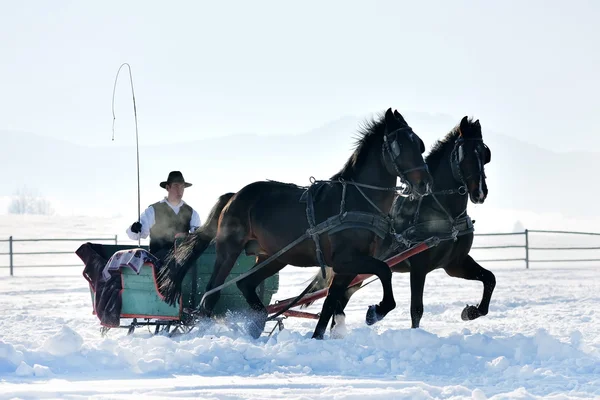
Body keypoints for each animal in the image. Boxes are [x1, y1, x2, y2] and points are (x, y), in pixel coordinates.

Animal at [157, 108, 434, 340]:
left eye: (419, 144)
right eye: (400, 145)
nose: (425, 183)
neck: (356, 200)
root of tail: (235, 195)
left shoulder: (346, 265)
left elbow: (330, 302)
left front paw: (318, 337)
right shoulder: (346, 260)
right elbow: (383, 271)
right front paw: (376, 311)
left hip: (276, 256)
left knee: (245, 283)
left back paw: (258, 321)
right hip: (229, 249)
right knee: (212, 292)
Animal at [302, 116, 494, 338]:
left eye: (485, 154)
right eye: (465, 155)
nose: (480, 192)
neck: (446, 214)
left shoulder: (455, 263)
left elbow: (490, 279)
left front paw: (471, 312)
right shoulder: (419, 266)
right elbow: (416, 309)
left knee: (340, 298)